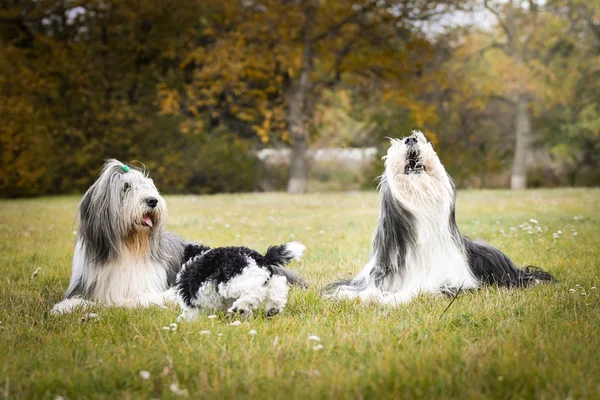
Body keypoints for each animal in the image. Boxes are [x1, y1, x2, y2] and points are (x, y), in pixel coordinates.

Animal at [173, 239, 304, 320]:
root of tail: (261, 258)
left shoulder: (191, 300)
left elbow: (189, 313)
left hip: (233, 282)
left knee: (256, 292)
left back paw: (240, 307)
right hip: (261, 278)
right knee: (278, 284)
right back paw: (273, 308)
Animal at [328, 130, 552, 304]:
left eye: (422, 140)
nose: (411, 139)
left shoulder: (448, 282)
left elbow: (415, 290)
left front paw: (391, 298)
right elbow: (358, 290)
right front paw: (347, 295)